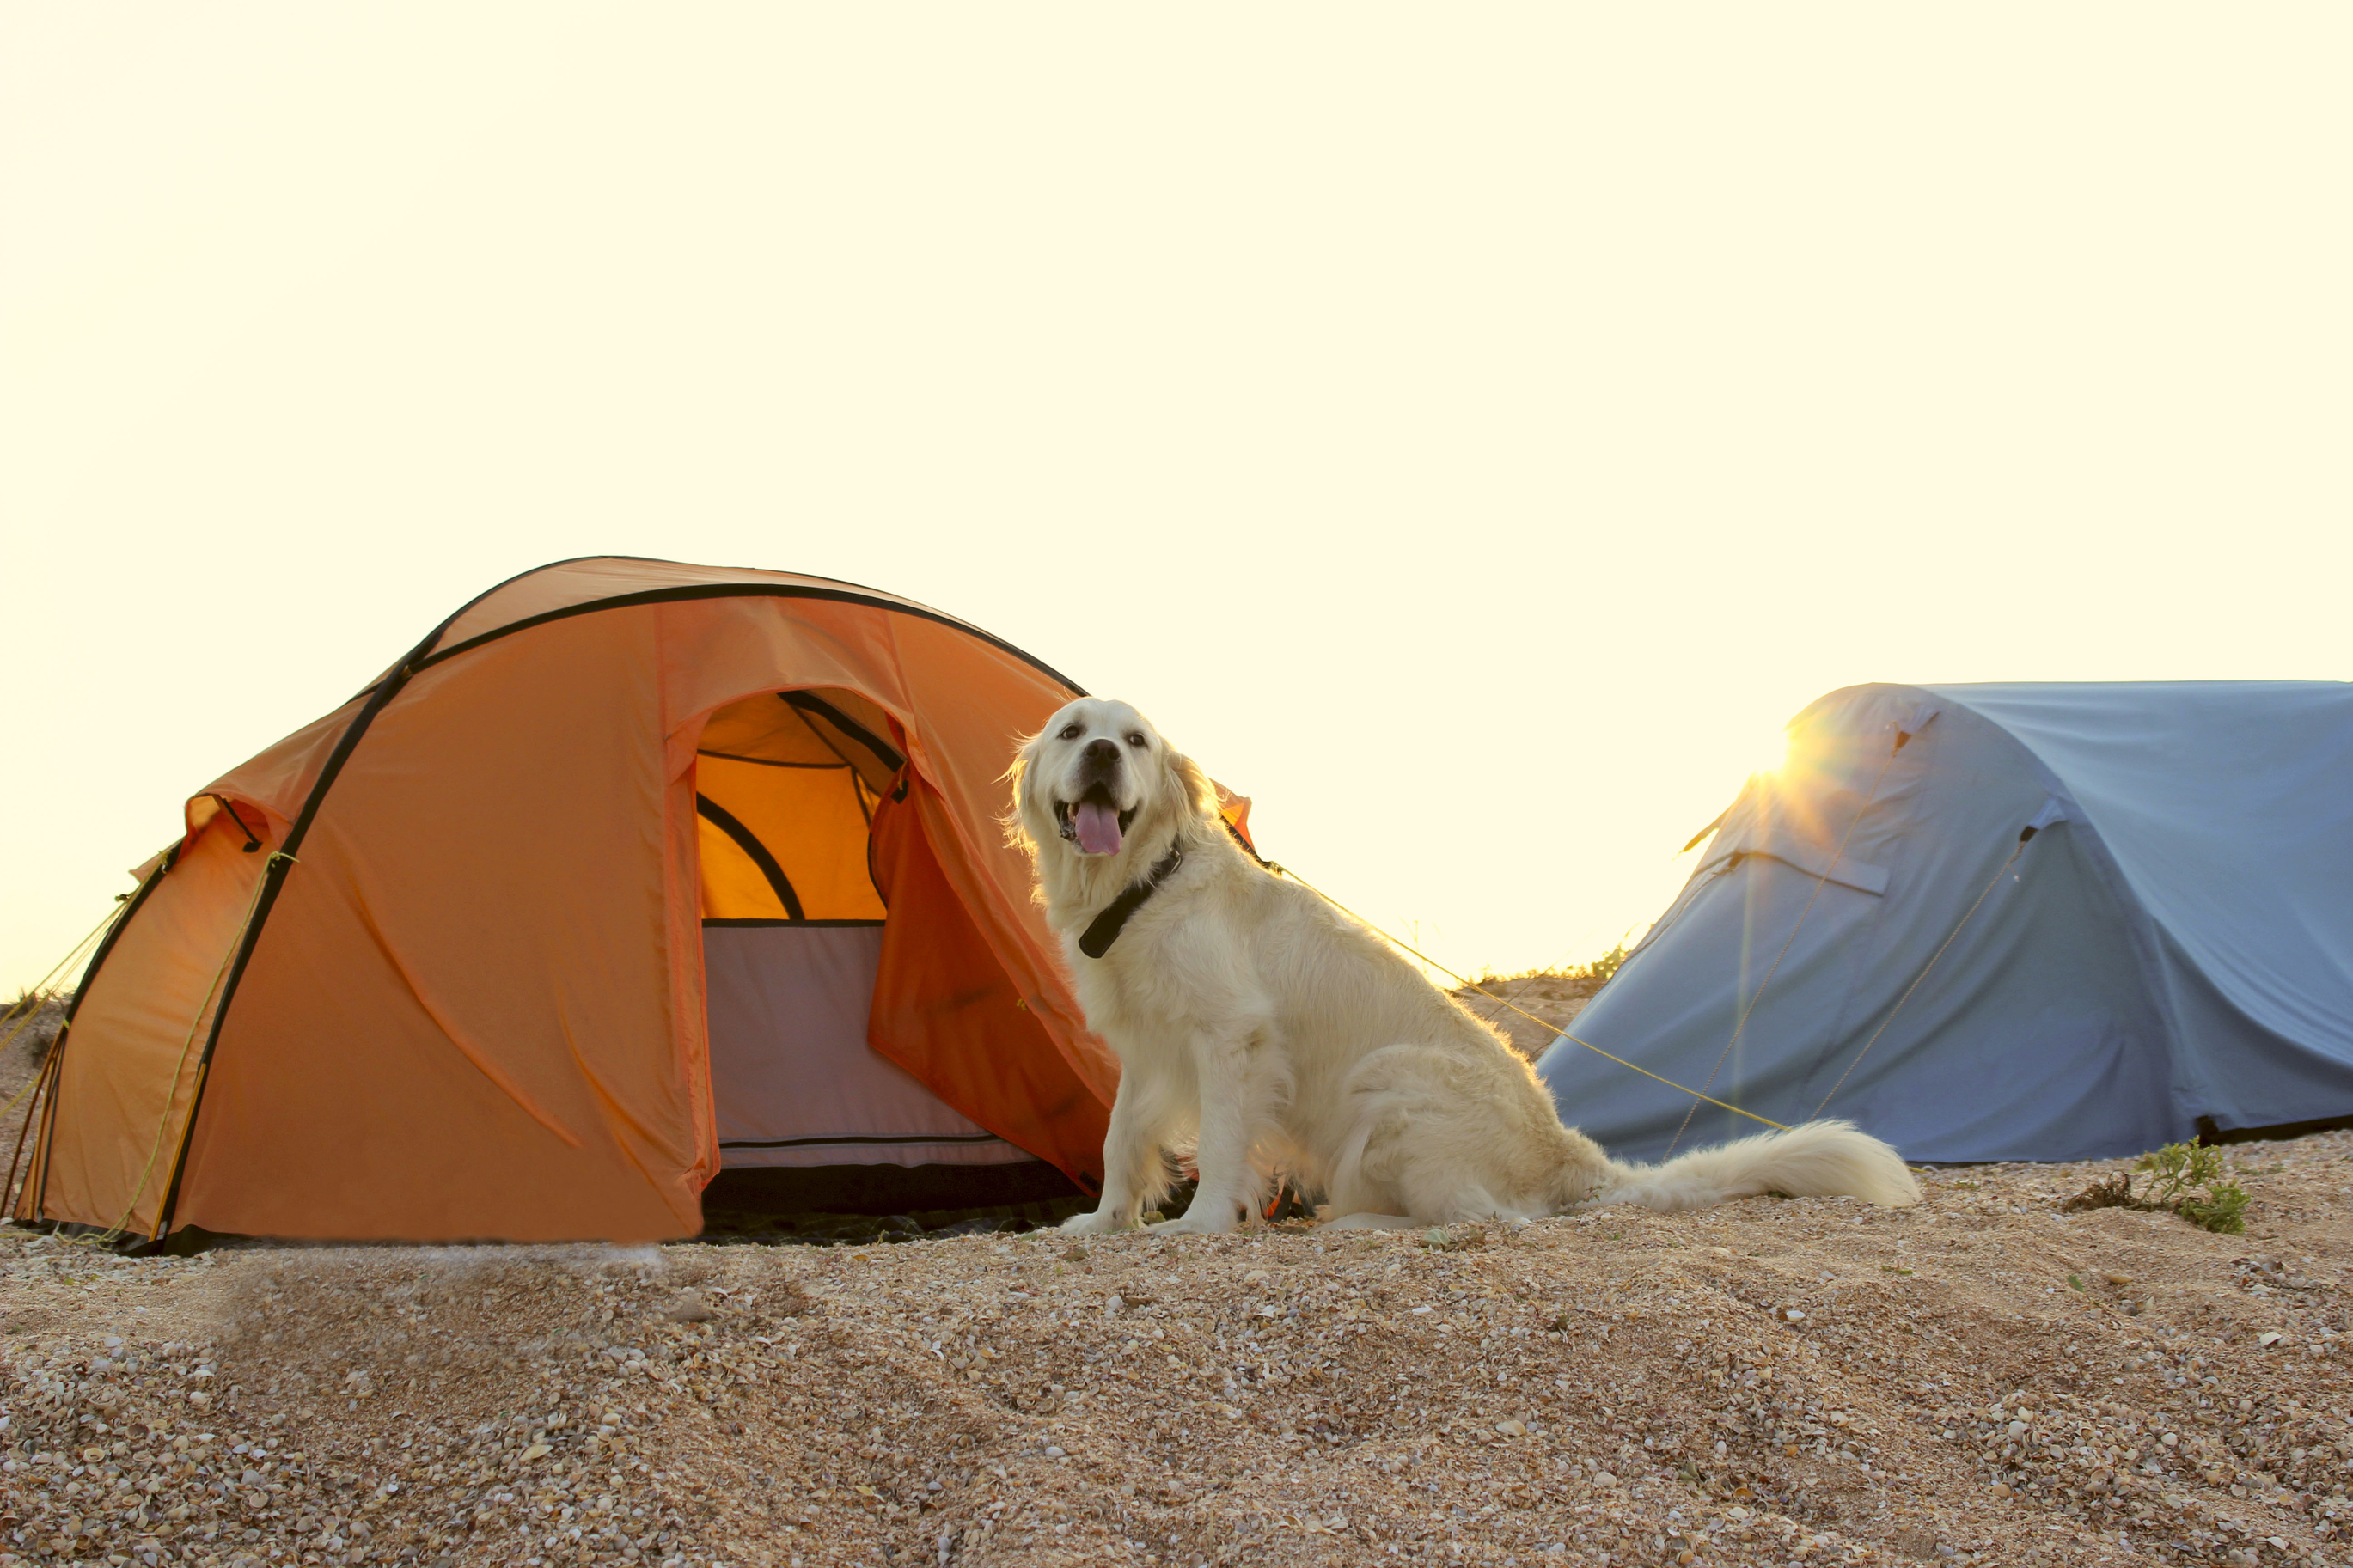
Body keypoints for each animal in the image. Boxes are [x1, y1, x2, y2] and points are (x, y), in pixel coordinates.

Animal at [1002, 700, 1920, 1241]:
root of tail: (1573, 1157)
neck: (1140, 885)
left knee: (1481, 1220)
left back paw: (1356, 1229)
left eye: (1134, 741)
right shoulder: (1146, 1044)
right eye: (1072, 732)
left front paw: (1195, 1228)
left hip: (1390, 1085)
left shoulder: (1233, 1037)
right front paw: (1099, 1222)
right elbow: (1121, 1137)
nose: (1102, 758)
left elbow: (1223, 1145)